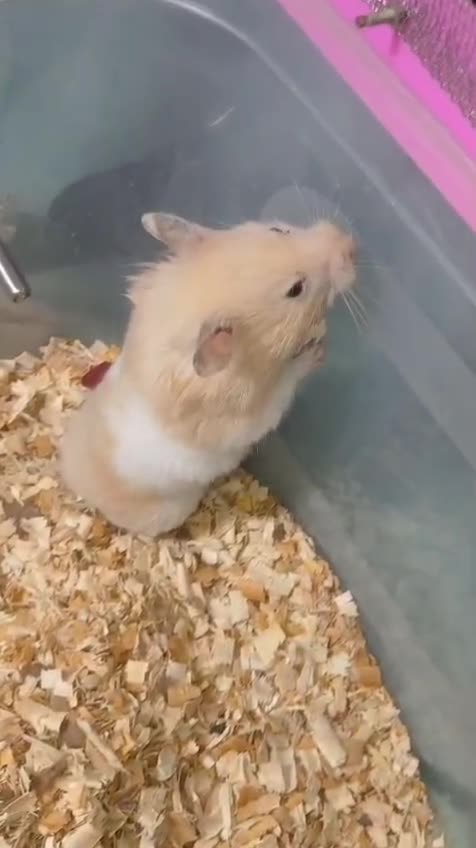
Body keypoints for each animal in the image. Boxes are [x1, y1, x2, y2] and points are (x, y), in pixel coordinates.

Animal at [60, 212, 356, 536]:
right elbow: (286, 383)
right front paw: (317, 350)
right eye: (296, 289)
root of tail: (79, 488)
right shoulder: (251, 415)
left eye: (279, 229)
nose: (350, 244)